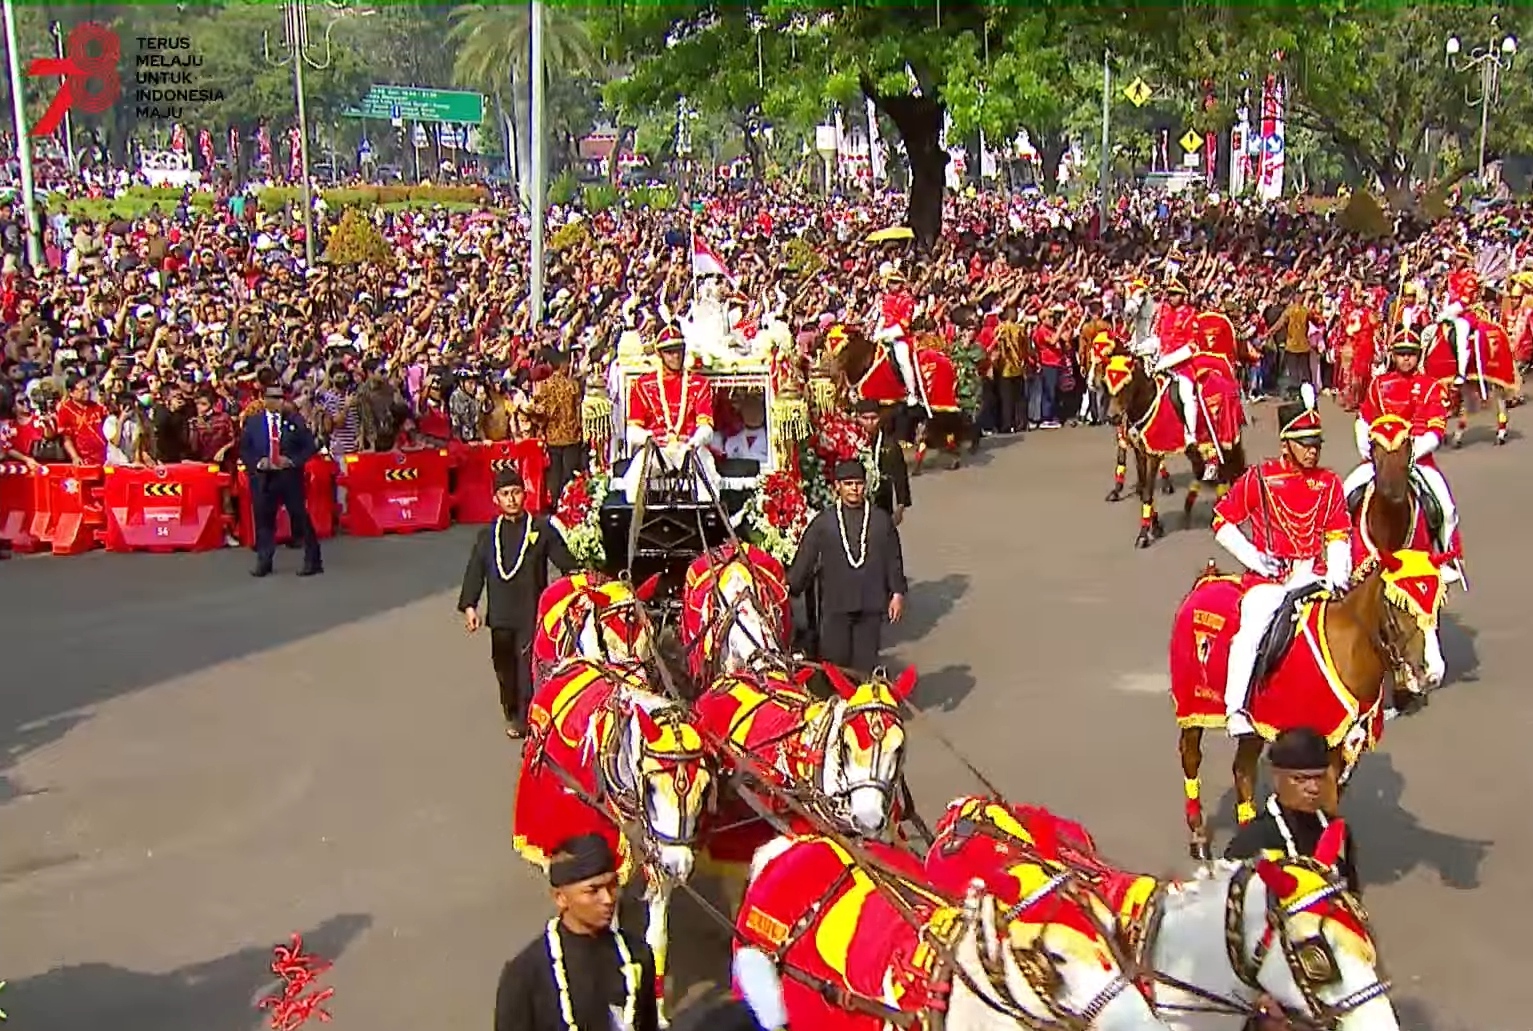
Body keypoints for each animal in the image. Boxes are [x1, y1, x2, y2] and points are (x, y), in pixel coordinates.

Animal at [1103, 353, 1244, 545]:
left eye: (1126, 384)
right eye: (1106, 383)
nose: (1112, 417)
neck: (1147, 402)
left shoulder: (1153, 455)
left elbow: (1147, 492)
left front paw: (1143, 535)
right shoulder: (1140, 452)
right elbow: (1143, 489)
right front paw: (1156, 527)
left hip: (1225, 439)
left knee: (1227, 473)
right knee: (1205, 471)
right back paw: (1193, 509)